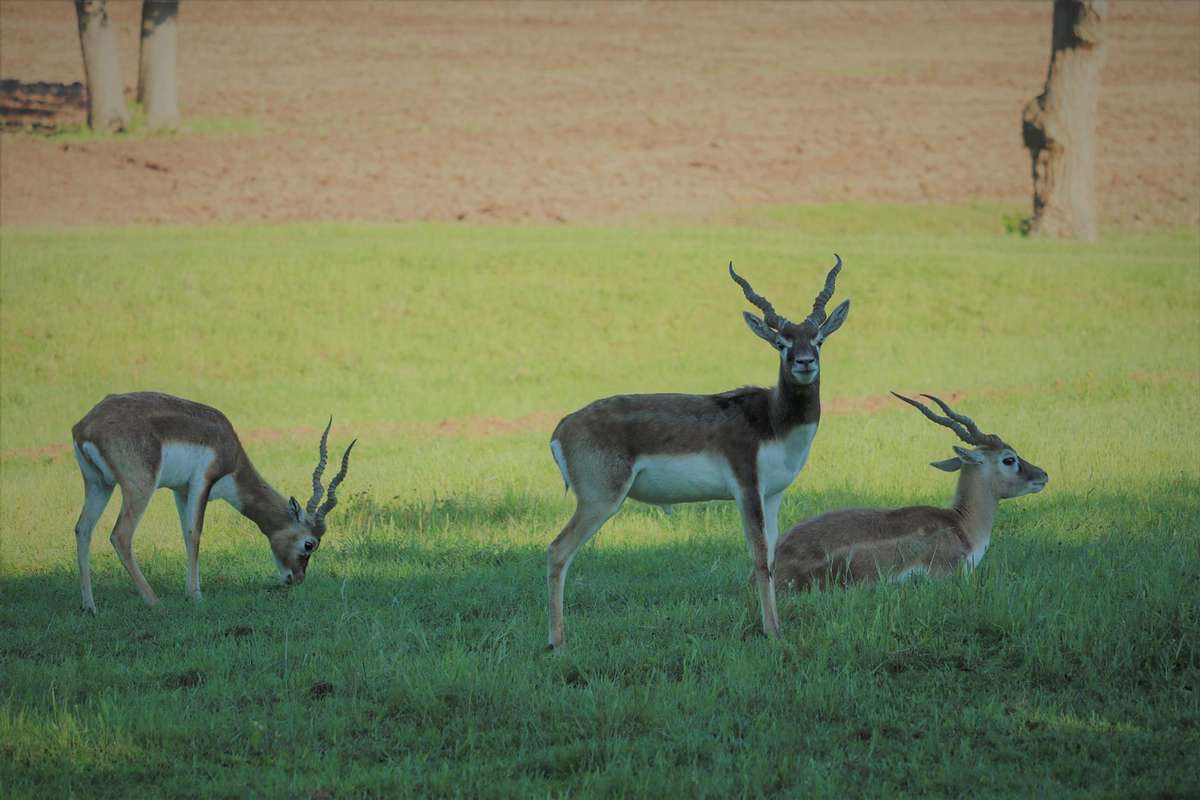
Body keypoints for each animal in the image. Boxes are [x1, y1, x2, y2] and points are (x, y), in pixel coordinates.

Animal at [71, 391, 355, 612]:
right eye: (309, 544)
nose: (296, 579)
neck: (227, 445)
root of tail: (86, 426)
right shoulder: (202, 483)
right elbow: (195, 533)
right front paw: (196, 596)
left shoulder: (181, 491)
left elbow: (186, 535)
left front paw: (191, 592)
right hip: (139, 487)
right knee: (120, 535)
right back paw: (154, 601)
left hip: (99, 485)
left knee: (83, 529)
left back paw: (89, 606)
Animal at [547, 255, 851, 649]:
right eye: (781, 343)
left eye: (818, 340)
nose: (804, 362)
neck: (772, 420)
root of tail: (563, 426)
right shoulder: (746, 488)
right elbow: (758, 556)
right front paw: (771, 633)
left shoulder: (773, 494)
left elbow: (771, 557)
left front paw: (777, 627)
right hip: (600, 500)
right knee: (557, 551)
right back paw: (557, 643)